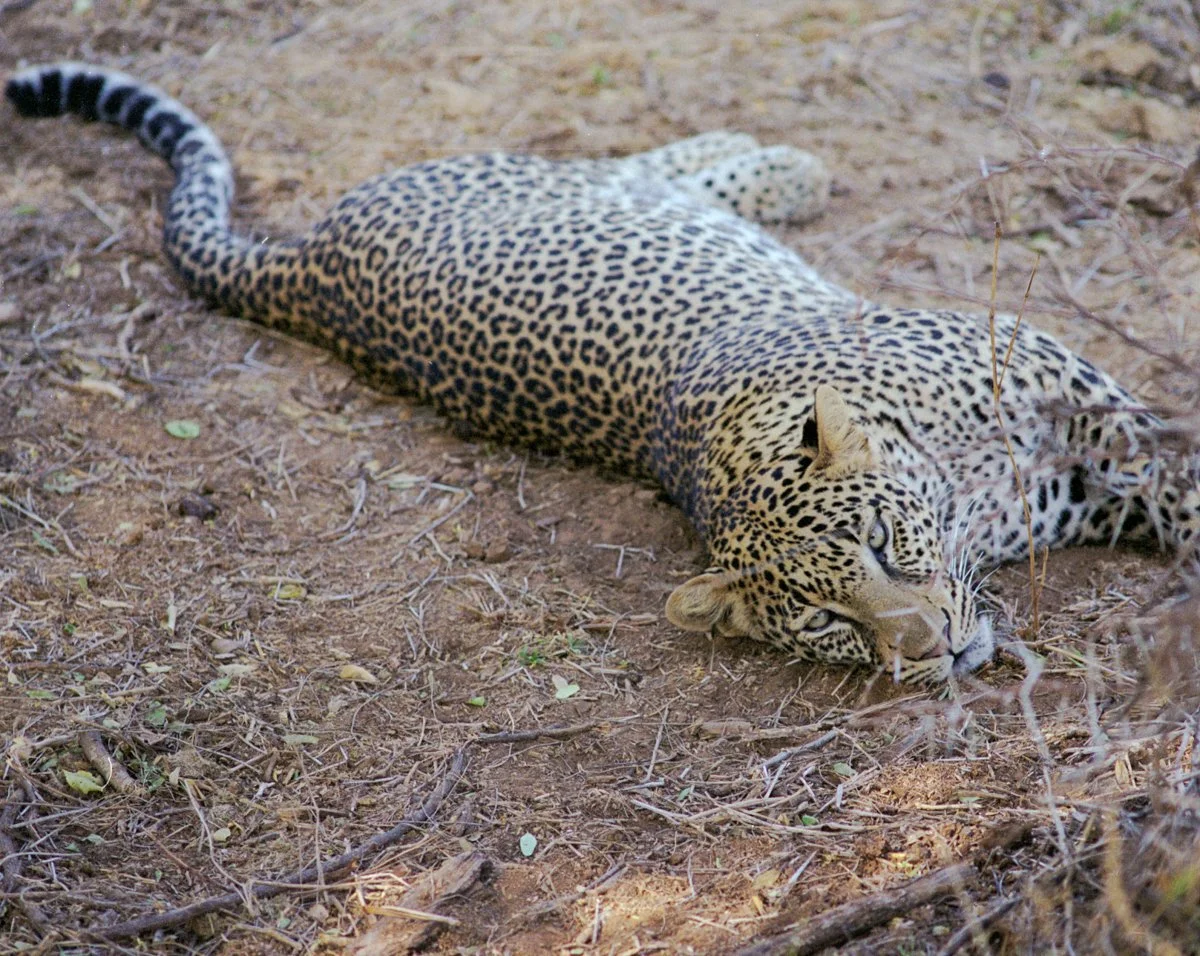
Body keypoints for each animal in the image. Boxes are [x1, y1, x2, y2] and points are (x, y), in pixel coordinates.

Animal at [7, 62, 1198, 683]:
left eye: (876, 543)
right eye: (830, 622)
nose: (935, 652)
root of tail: (310, 269)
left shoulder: (1082, 401)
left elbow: (1180, 483)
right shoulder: (1079, 484)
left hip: (533, 179)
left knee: (637, 163)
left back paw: (784, 163)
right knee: (654, 168)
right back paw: (783, 168)